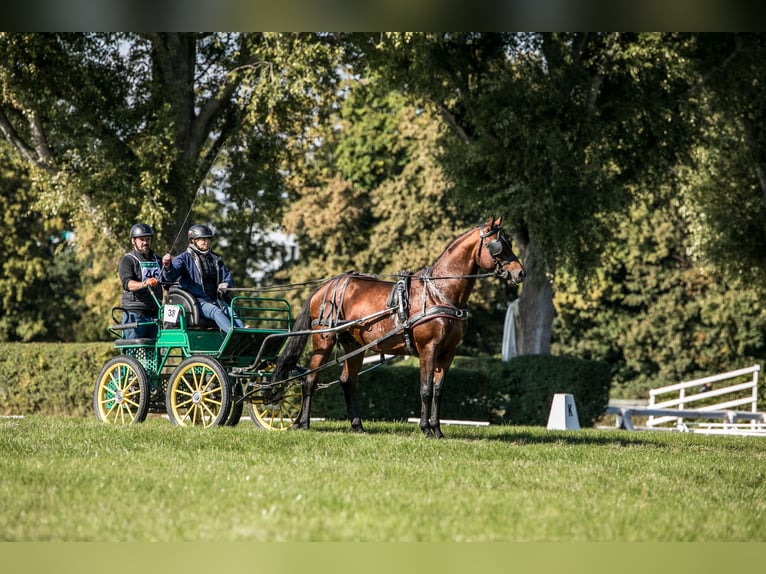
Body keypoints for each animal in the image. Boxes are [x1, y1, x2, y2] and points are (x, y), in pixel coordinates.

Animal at [272, 216, 525, 438]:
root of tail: (325, 286)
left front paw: (437, 430)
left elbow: (438, 391)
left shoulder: (448, 353)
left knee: (348, 381)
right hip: (323, 339)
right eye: (498, 246)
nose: (520, 272)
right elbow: (425, 389)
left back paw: (357, 425)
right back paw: (303, 423)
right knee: (310, 379)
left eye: (510, 242)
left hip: (353, 345)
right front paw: (425, 429)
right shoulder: (428, 349)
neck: (438, 293)